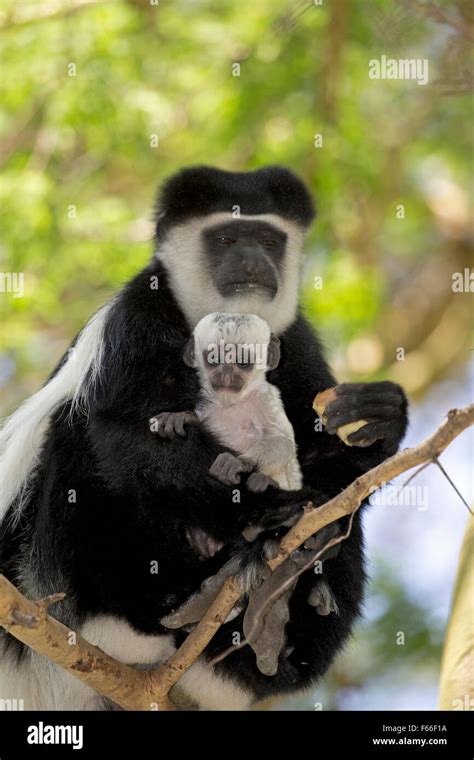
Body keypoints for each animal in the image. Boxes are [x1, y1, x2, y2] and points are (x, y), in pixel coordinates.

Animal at [150, 312, 302, 496]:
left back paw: (265, 481)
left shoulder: (265, 399)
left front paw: (238, 462)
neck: (233, 404)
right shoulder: (207, 402)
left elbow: (284, 442)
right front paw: (182, 417)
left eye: (242, 362)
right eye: (215, 359)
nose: (226, 373)